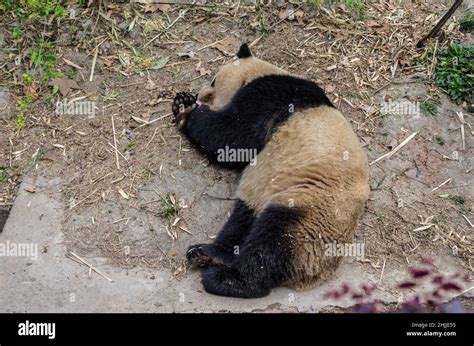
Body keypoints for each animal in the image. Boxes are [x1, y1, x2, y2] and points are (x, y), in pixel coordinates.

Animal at [171, 42, 370, 298]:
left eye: (214, 81)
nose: (200, 96)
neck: (261, 72)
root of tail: (316, 272)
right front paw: (183, 101)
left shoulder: (271, 95)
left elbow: (233, 135)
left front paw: (186, 110)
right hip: (270, 198)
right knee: (243, 219)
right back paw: (207, 254)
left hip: (308, 206)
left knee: (271, 241)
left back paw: (228, 280)